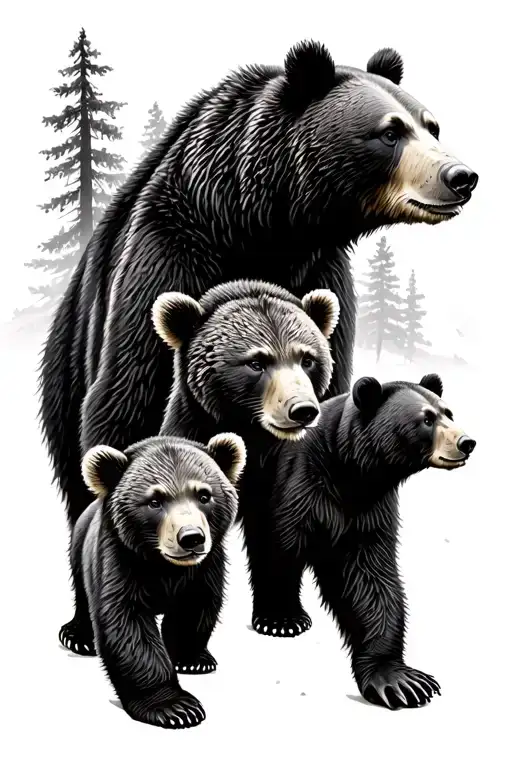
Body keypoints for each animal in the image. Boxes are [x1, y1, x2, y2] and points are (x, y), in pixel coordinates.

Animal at [38, 41, 479, 539]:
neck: (265, 229)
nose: (460, 176)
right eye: (390, 132)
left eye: (432, 125)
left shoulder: (322, 277)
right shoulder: (170, 257)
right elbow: (130, 398)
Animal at [58, 432, 246, 729]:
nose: (191, 537)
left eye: (204, 495)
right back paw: (78, 636)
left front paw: (192, 659)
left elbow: (195, 606)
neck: (164, 566)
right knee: (81, 593)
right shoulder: (120, 559)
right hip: (79, 549)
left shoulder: (205, 567)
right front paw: (175, 706)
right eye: (155, 501)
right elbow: (127, 624)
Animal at [151, 279, 340, 636]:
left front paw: (282, 618)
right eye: (256, 362)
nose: (302, 409)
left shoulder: (286, 470)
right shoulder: (193, 438)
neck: (253, 438)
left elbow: (277, 530)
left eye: (307, 359)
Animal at [252, 372, 476, 709]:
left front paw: (399, 679)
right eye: (426, 419)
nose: (466, 442)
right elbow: (279, 546)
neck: (350, 471)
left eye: (449, 413)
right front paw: (281, 619)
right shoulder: (299, 484)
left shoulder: (369, 511)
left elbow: (370, 579)